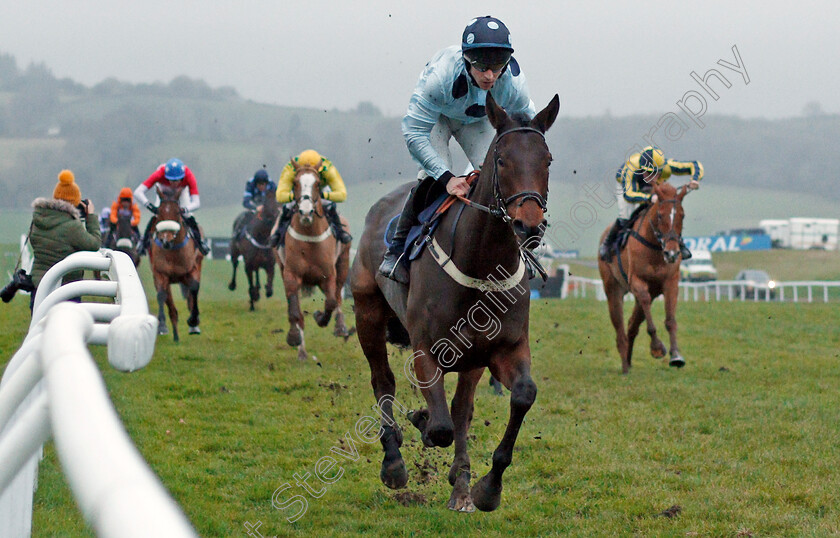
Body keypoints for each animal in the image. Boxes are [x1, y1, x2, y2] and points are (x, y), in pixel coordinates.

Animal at [150, 184, 204, 342]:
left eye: (177, 213)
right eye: (160, 213)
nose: (166, 241)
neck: (173, 251)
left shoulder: (192, 270)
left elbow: (194, 289)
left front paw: (193, 320)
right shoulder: (161, 273)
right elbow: (162, 296)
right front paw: (163, 326)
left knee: (191, 296)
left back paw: (193, 326)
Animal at [274, 161, 350, 358]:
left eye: (317, 184)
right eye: (295, 183)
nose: (306, 212)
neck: (309, 237)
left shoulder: (328, 275)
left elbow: (331, 302)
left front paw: (320, 317)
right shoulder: (291, 275)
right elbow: (295, 311)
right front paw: (294, 337)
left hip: (343, 264)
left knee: (338, 297)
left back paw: (340, 327)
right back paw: (302, 351)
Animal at [352, 93, 560, 510]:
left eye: (546, 160)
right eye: (501, 160)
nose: (528, 225)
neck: (480, 263)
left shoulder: (502, 348)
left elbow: (518, 396)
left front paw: (485, 488)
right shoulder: (425, 349)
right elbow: (441, 427)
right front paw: (420, 424)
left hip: (471, 358)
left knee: (462, 408)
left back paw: (460, 483)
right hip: (367, 313)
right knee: (383, 381)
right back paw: (393, 462)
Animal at [596, 180, 688, 372]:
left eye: (682, 216)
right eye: (660, 215)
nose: (672, 253)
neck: (655, 247)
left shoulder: (670, 282)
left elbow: (670, 320)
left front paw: (676, 355)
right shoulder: (637, 282)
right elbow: (646, 308)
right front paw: (657, 348)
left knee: (632, 324)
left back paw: (629, 361)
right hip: (612, 289)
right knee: (620, 328)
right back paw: (624, 366)